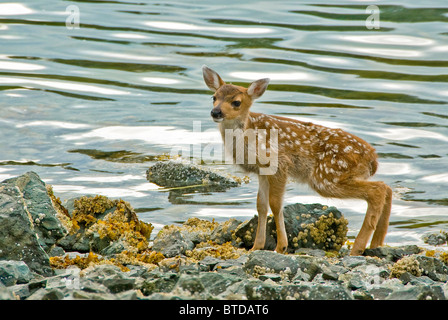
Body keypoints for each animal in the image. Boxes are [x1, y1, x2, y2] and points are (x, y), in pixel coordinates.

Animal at [202, 65, 392, 255]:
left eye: (236, 102)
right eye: (214, 97)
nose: (215, 112)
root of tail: (373, 159)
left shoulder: (279, 163)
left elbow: (276, 204)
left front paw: (281, 246)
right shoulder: (262, 171)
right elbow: (261, 205)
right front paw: (256, 247)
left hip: (328, 176)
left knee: (378, 190)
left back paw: (358, 248)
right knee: (386, 187)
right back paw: (376, 244)